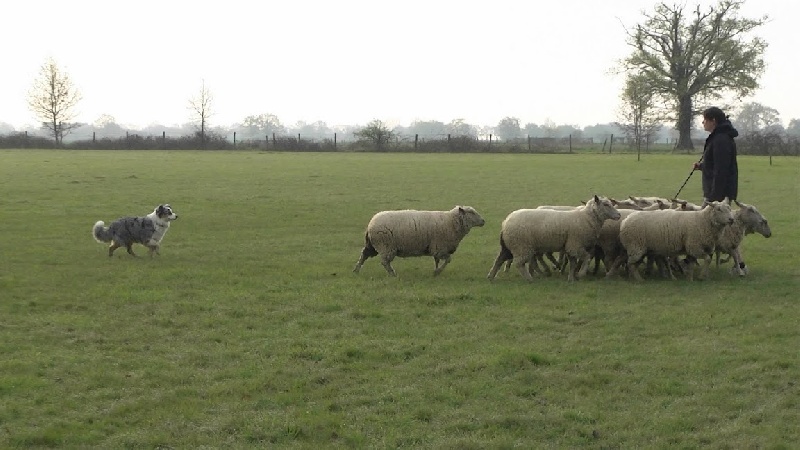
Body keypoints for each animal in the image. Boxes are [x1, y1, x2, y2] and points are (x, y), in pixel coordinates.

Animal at [354, 206, 484, 276]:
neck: (451, 222)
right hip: (386, 246)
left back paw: (356, 270)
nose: (483, 221)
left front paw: (435, 271)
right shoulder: (439, 248)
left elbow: (437, 261)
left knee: (364, 255)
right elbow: (448, 260)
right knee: (385, 262)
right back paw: (393, 274)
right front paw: (438, 272)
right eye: (471, 212)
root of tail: (370, 225)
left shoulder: (436, 249)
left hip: (372, 245)